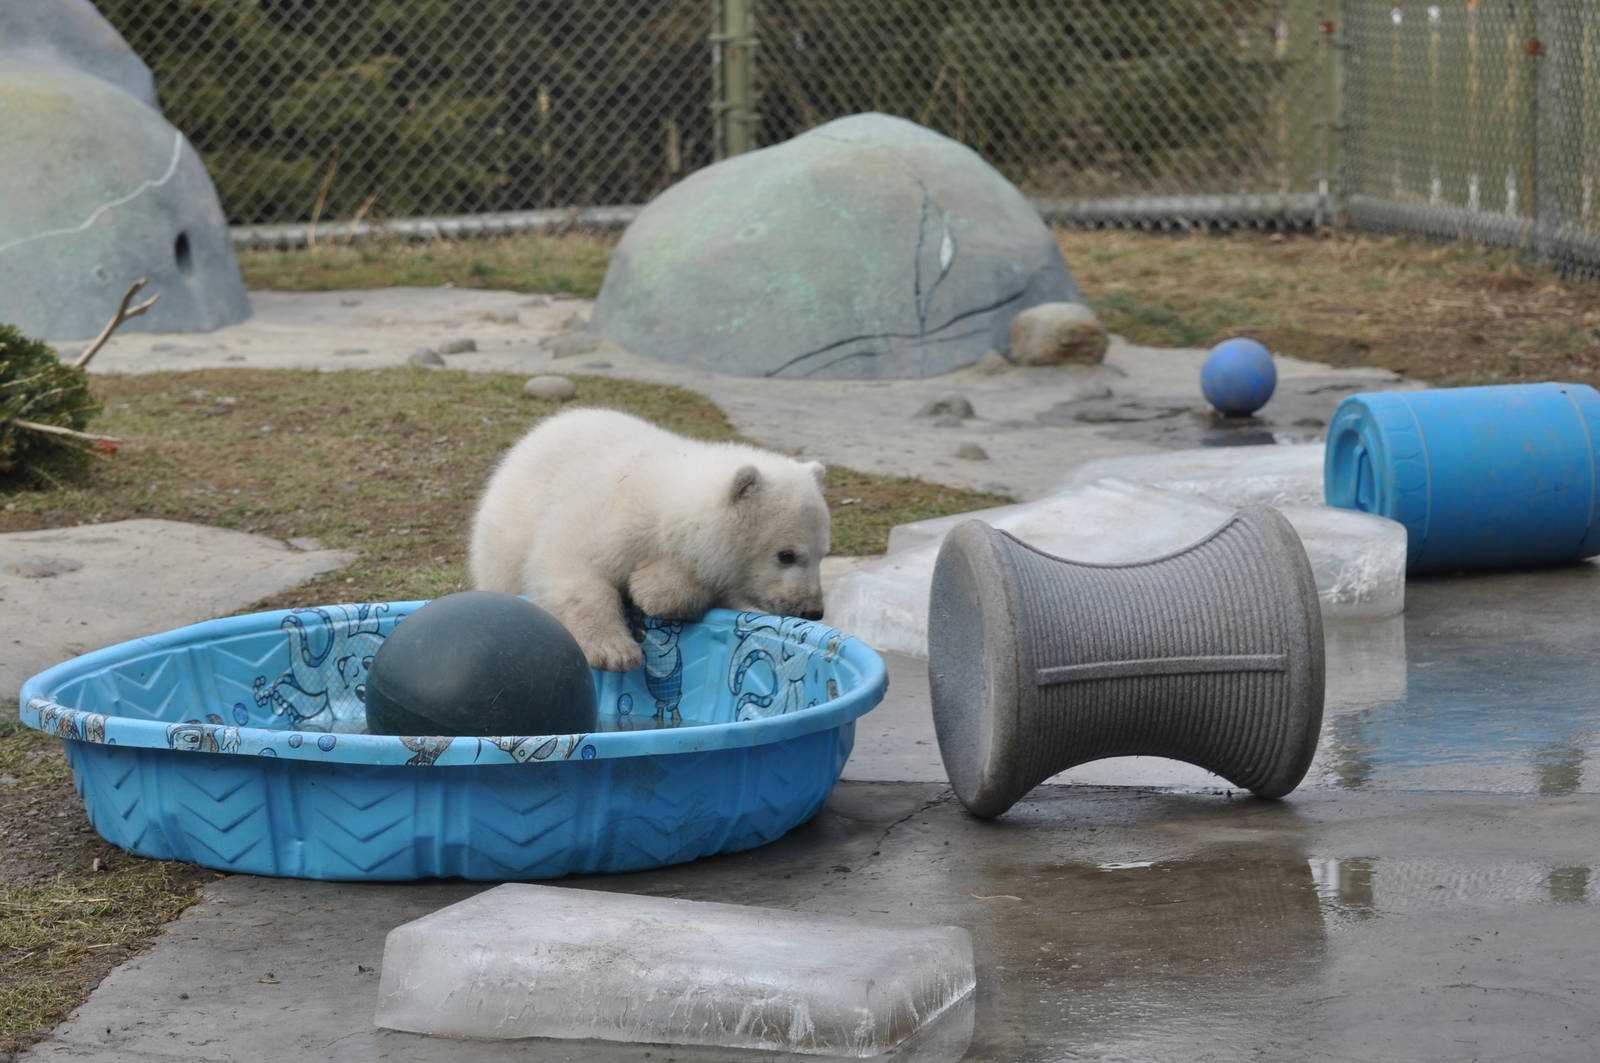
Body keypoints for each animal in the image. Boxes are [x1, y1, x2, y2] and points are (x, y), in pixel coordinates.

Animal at [469, 407, 831, 672]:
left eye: (822, 554)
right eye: (786, 554)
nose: (813, 610)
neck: (663, 503)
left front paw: (653, 587)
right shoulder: (605, 517)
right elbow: (569, 569)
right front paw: (613, 651)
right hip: (507, 531)